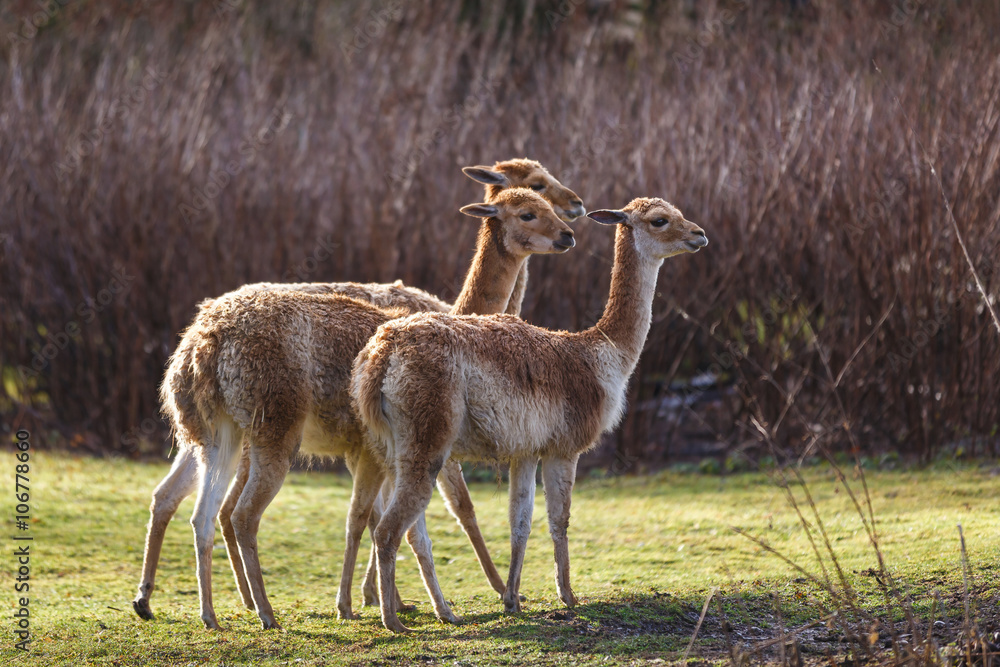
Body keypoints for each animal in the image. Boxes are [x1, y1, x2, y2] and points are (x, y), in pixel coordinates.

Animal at [137, 185, 579, 631]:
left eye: (546, 203)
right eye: (528, 212)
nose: (568, 233)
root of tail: (204, 341)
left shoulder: (370, 450)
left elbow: (370, 518)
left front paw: (372, 601)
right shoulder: (400, 445)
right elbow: (440, 513)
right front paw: (426, 600)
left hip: (211, 434)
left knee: (187, 506)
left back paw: (188, 609)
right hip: (272, 428)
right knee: (237, 513)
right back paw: (262, 611)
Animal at [351, 197, 708, 632]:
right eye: (660, 220)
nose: (699, 235)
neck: (600, 353)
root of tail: (382, 353)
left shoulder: (525, 449)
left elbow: (519, 522)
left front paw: (512, 599)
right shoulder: (564, 447)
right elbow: (560, 519)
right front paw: (568, 596)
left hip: (392, 446)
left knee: (408, 530)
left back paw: (442, 611)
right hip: (427, 438)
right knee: (388, 531)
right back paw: (394, 621)